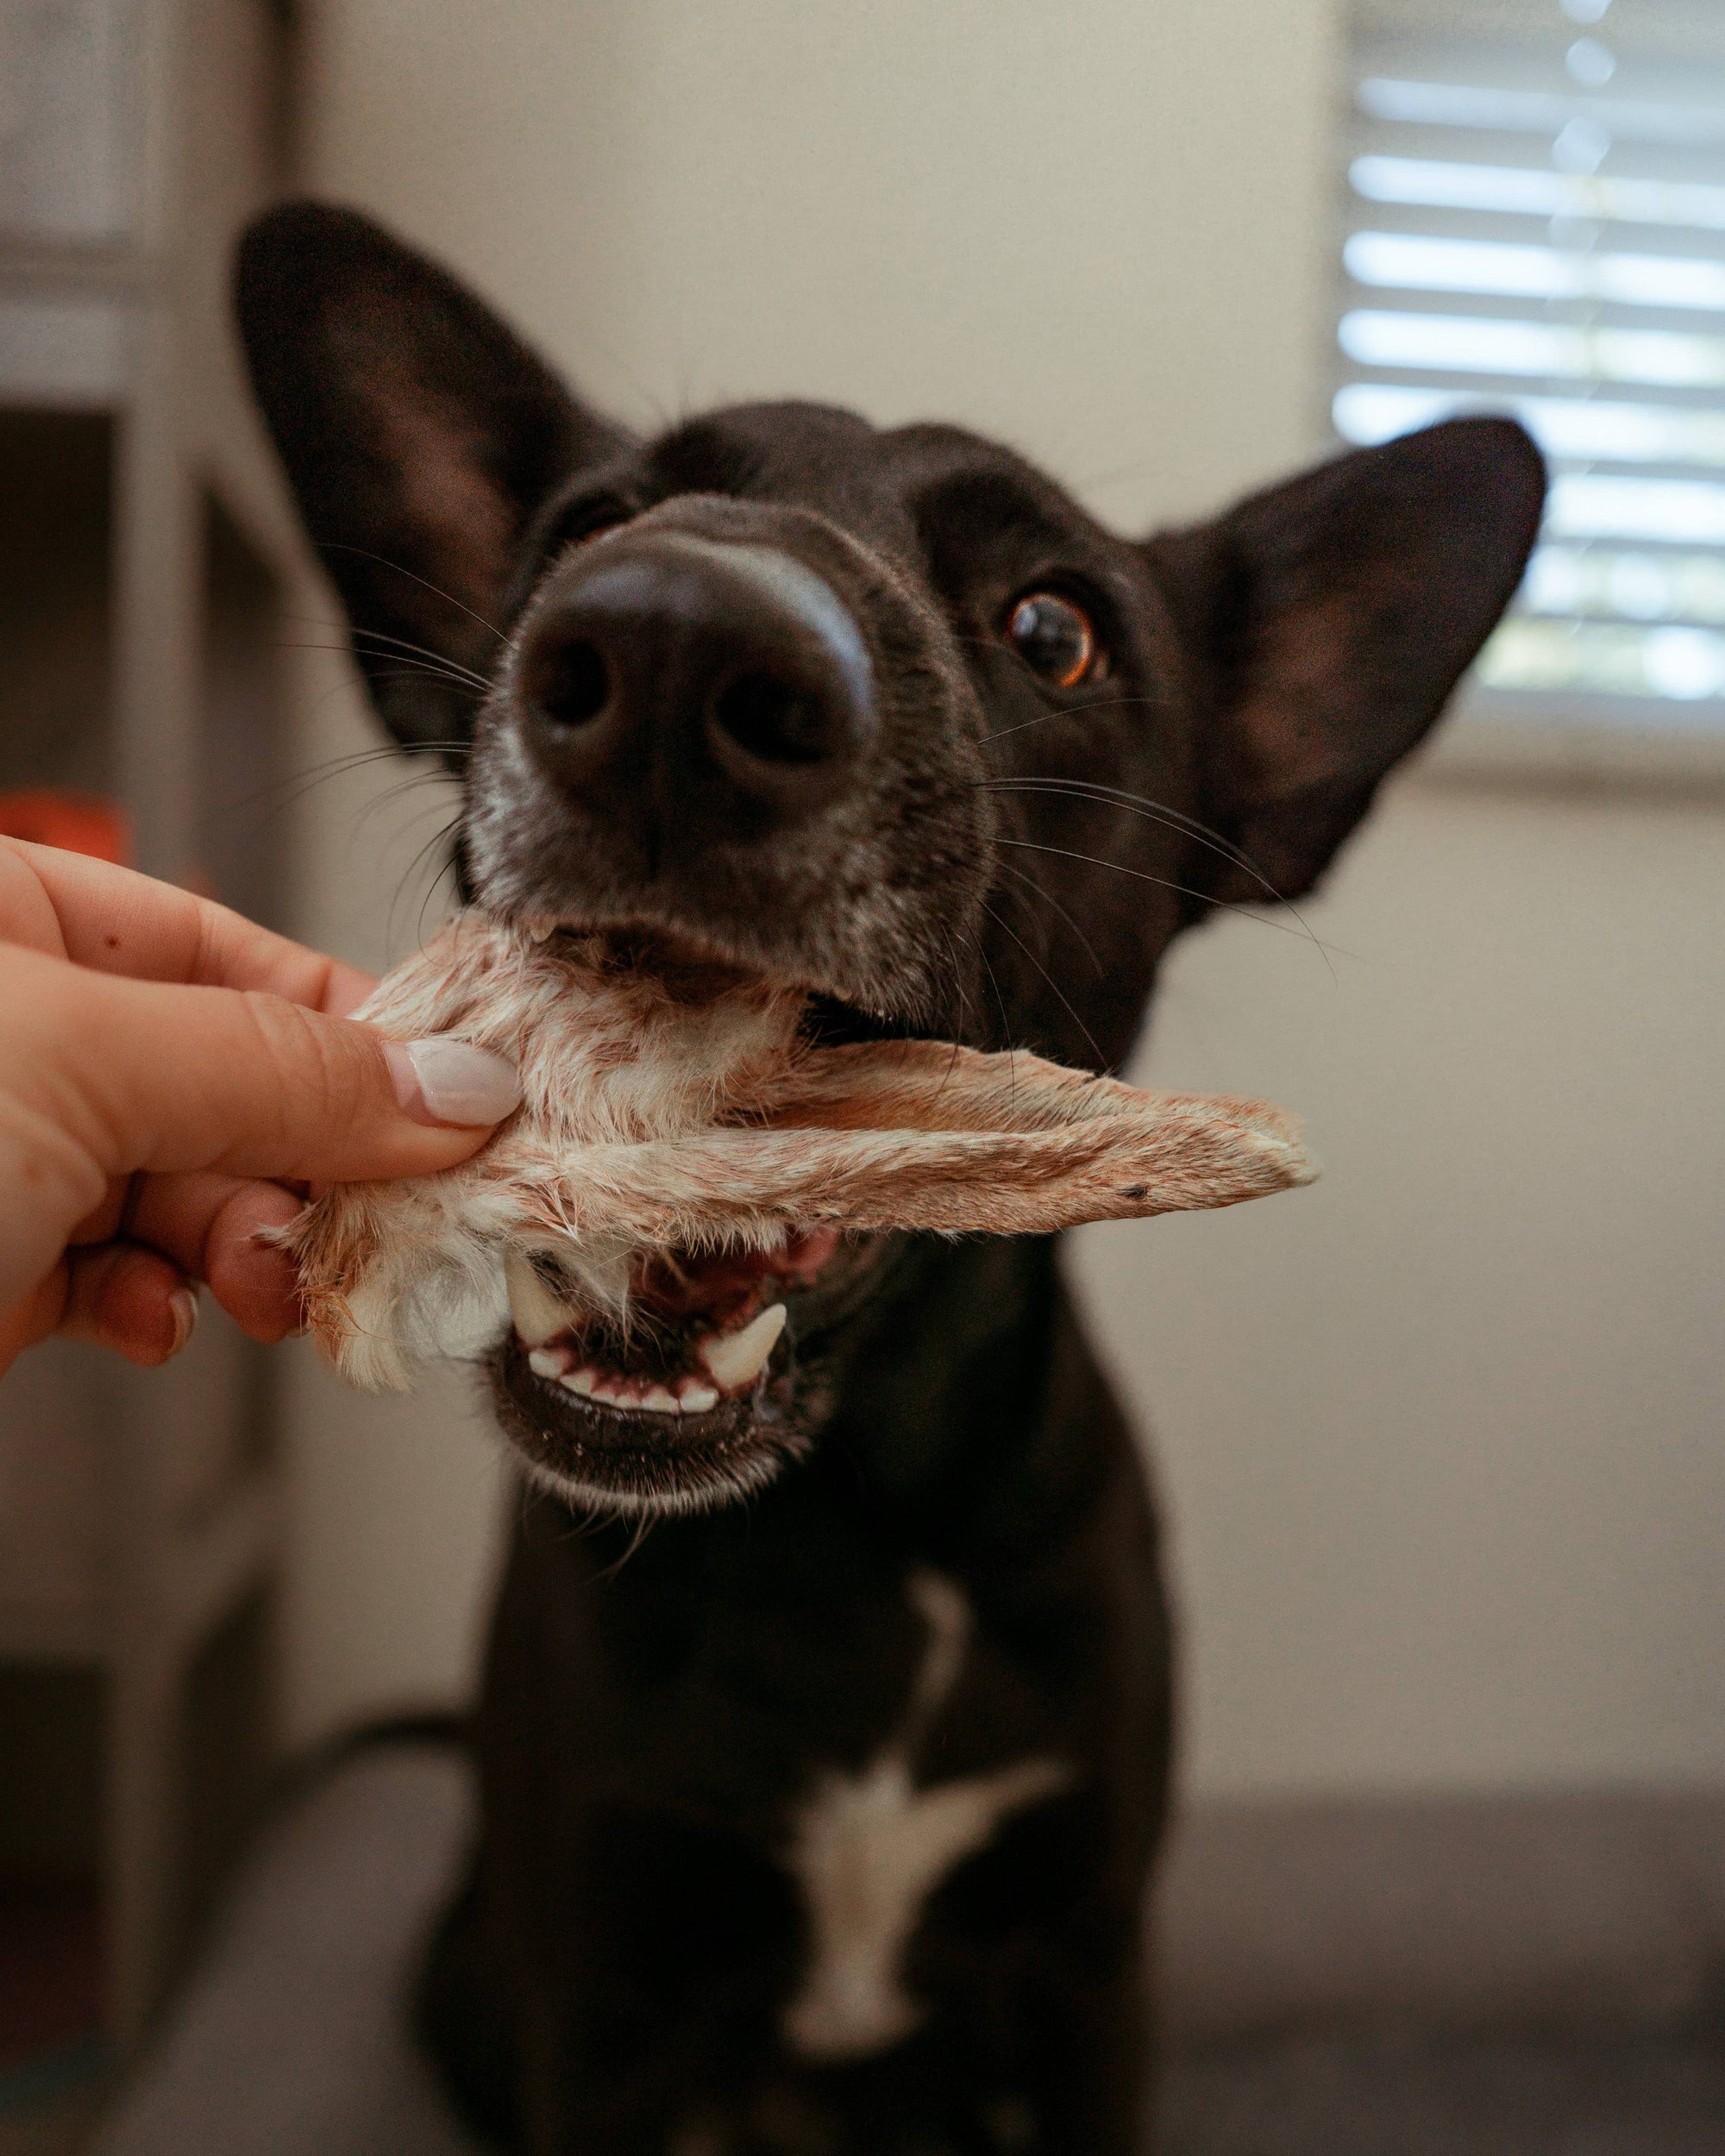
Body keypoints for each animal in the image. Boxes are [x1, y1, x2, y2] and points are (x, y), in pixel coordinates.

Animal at [237, 200, 1543, 2156]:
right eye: (590, 525)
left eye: (1054, 629)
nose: (670, 653)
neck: (853, 1524)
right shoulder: (601, 1997)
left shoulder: (1087, 1973)